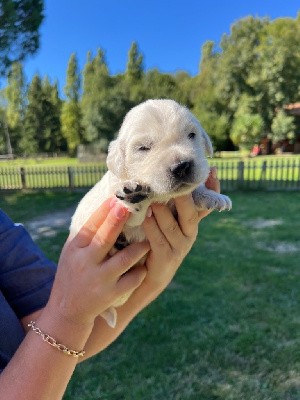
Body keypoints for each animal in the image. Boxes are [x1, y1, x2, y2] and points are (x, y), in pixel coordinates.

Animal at [71, 98, 232, 326]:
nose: (182, 166)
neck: (160, 196)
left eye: (192, 135)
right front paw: (134, 196)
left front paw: (213, 196)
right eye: (143, 148)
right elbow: (131, 210)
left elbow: (194, 190)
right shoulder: (114, 201)